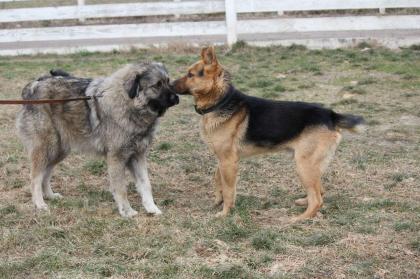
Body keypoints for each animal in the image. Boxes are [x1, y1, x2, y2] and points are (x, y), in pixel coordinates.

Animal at [16, 62, 179, 218]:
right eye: (157, 85)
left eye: (168, 81)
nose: (177, 98)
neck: (130, 104)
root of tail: (32, 86)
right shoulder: (116, 158)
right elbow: (121, 188)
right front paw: (127, 211)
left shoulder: (138, 156)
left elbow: (145, 184)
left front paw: (152, 208)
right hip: (46, 148)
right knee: (35, 177)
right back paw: (39, 204)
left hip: (58, 150)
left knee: (45, 174)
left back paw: (50, 195)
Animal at [171, 47, 364, 222]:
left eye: (190, 74)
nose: (169, 84)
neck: (221, 101)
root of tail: (330, 114)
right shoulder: (221, 160)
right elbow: (217, 180)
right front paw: (217, 202)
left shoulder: (228, 161)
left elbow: (228, 190)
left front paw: (225, 213)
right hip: (311, 165)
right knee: (319, 191)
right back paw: (304, 202)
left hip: (303, 165)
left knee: (317, 199)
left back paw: (300, 218)